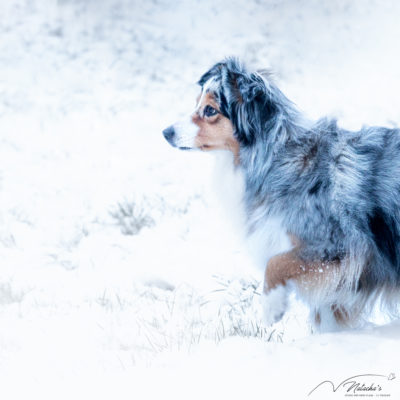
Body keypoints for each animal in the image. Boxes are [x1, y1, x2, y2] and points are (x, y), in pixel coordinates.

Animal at [162, 57, 400, 332]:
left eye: (210, 110)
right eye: (196, 103)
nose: (166, 132)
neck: (274, 158)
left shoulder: (339, 245)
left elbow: (275, 263)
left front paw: (272, 307)